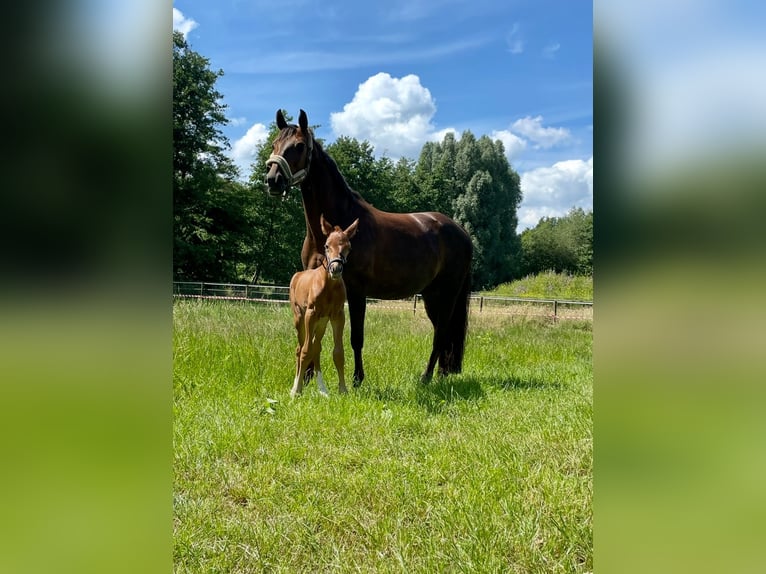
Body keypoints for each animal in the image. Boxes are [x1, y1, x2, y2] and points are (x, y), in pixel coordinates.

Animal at [290, 214, 362, 398]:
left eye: (348, 247)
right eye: (326, 246)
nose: (335, 269)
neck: (328, 286)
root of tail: (297, 276)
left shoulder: (338, 315)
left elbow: (338, 353)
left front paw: (343, 390)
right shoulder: (311, 314)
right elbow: (305, 351)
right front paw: (297, 390)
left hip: (321, 323)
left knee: (317, 348)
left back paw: (322, 389)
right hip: (300, 319)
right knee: (300, 348)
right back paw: (295, 386)